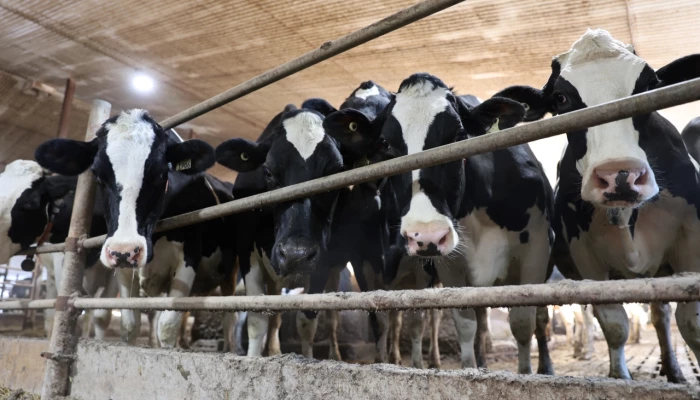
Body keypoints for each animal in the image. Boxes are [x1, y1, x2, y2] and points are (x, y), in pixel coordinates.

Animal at [34, 109, 238, 350]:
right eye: (98, 175)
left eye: (161, 174)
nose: (125, 249)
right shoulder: (122, 270)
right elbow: (130, 325)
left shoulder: (189, 256)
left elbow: (167, 326)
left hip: (230, 273)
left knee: (229, 316)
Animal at [494, 28, 700, 382]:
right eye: (561, 99)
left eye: (649, 85)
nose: (620, 175)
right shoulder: (585, 253)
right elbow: (613, 322)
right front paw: (620, 378)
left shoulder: (692, 237)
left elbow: (691, 323)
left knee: (660, 313)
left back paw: (673, 370)